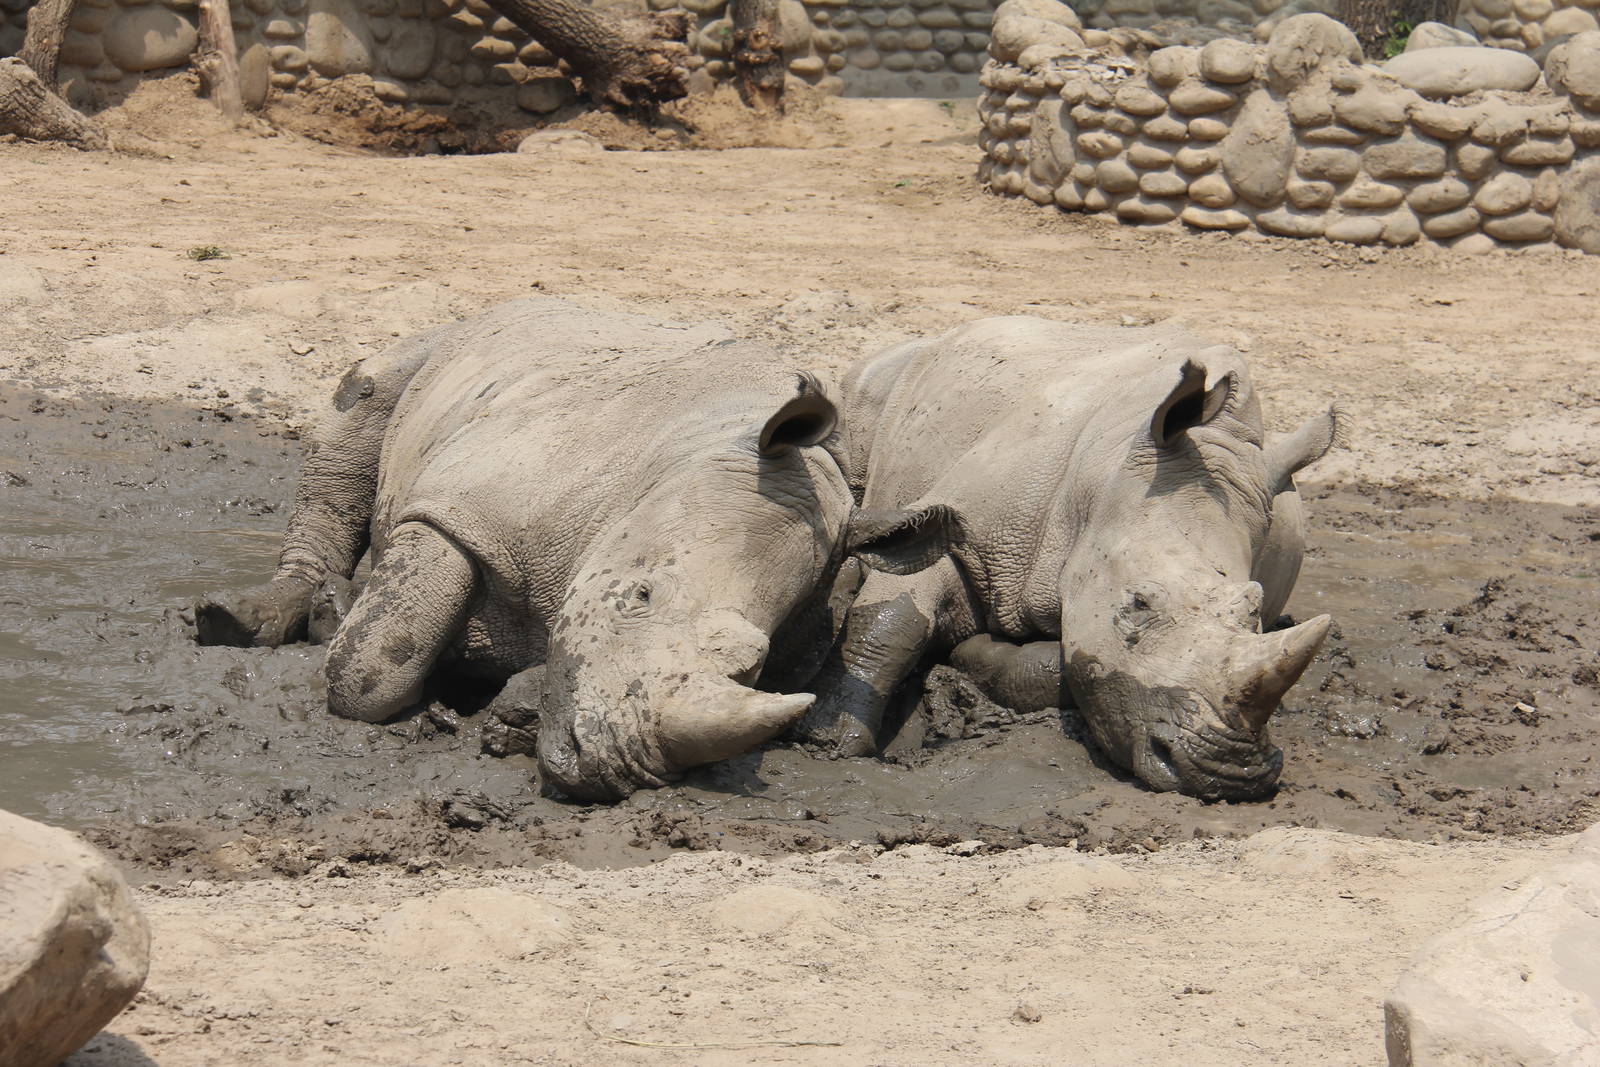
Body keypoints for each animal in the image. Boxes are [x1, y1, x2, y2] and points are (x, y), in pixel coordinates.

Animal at [194, 298, 932, 802]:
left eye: (755, 666)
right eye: (637, 595)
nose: (612, 769)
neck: (684, 457)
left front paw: (513, 712)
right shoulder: (460, 513)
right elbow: (371, 671)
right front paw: (426, 703)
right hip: (444, 352)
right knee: (366, 397)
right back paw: (259, 618)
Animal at [806, 316, 1340, 801]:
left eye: (1255, 609)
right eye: (1138, 604)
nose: (1229, 773)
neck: (1103, 483)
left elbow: (1062, 664)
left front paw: (974, 653)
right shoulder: (960, 523)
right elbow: (892, 619)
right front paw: (829, 741)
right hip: (881, 379)